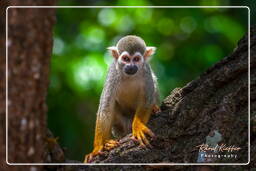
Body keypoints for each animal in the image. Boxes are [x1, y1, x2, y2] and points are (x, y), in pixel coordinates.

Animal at [84, 35, 160, 163]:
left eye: (136, 59)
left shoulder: (146, 71)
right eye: (125, 58)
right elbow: (105, 108)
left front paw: (138, 126)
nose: (131, 66)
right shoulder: (113, 74)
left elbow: (147, 100)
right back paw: (107, 142)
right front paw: (97, 148)